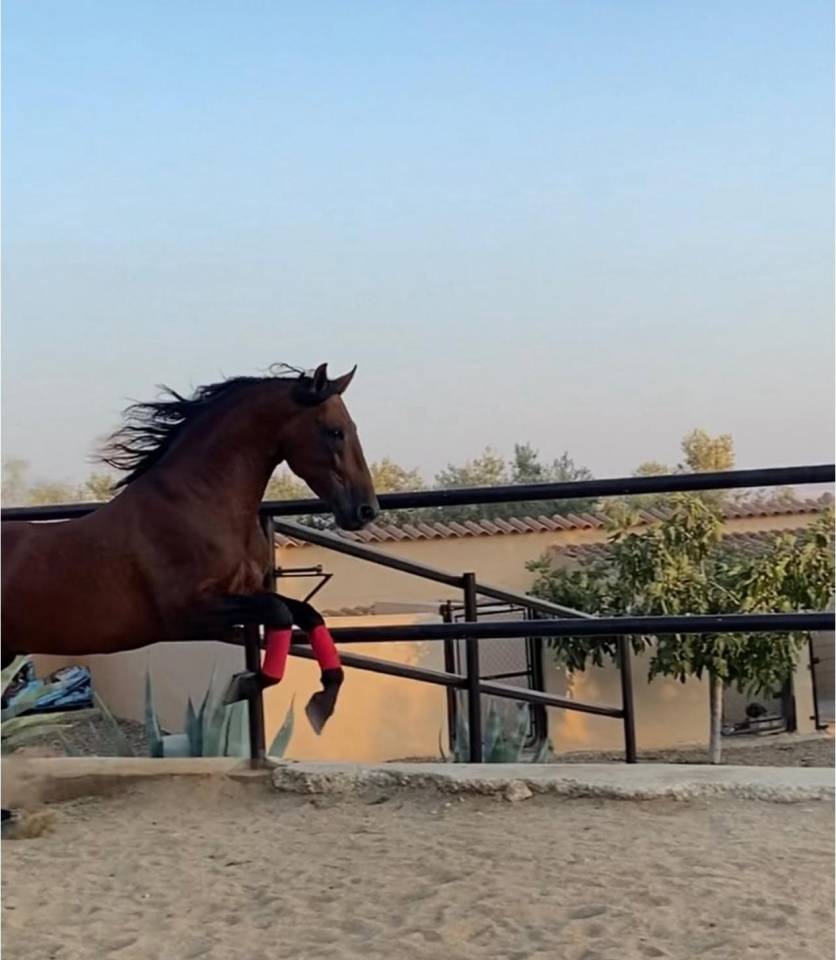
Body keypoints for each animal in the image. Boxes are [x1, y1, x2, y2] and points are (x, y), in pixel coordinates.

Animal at [1, 362, 380, 738]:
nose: (366, 510)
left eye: (351, 428)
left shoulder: (246, 593)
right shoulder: (188, 613)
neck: (201, 503)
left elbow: (306, 613)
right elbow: (280, 612)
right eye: (335, 431)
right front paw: (245, 685)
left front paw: (323, 699)